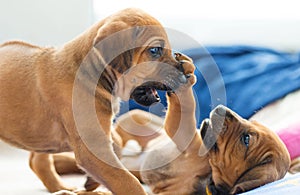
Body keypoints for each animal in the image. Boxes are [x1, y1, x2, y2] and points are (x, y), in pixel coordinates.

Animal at [0, 8, 188, 195]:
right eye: (154, 50)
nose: (185, 76)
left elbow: (117, 143)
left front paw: (92, 181)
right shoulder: (92, 148)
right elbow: (128, 181)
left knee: (37, 159)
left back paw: (61, 187)